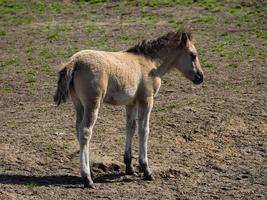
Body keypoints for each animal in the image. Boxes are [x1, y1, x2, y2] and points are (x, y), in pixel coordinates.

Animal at [54, 30, 205, 188]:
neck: (151, 64)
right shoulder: (146, 100)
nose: (201, 77)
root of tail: (75, 61)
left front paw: (129, 167)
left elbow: (130, 128)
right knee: (85, 132)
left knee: (78, 129)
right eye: (193, 55)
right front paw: (146, 170)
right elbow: (144, 130)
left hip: (79, 104)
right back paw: (87, 178)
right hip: (92, 104)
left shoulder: (131, 103)